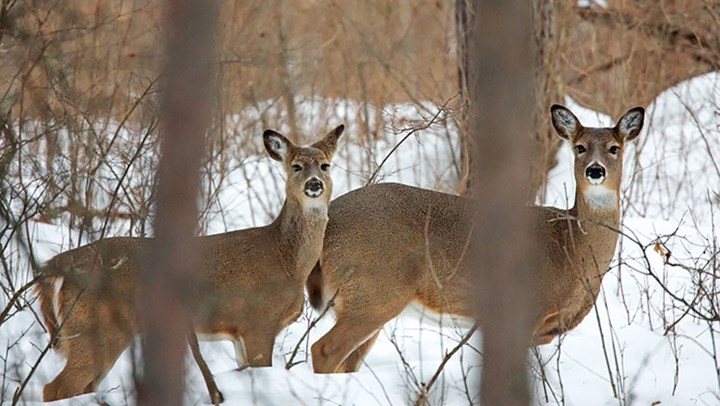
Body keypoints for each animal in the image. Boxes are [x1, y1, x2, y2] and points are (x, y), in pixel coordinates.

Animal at [35, 123, 344, 400]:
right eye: (296, 166)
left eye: (325, 165)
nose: (314, 184)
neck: (287, 261)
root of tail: (55, 267)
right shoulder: (257, 322)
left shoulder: (239, 333)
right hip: (95, 330)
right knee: (55, 388)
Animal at [306, 105, 644, 374]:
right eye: (580, 147)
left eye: (614, 148)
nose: (595, 171)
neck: (571, 248)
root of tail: (328, 223)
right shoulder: (526, 313)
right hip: (375, 289)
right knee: (323, 350)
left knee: (346, 362)